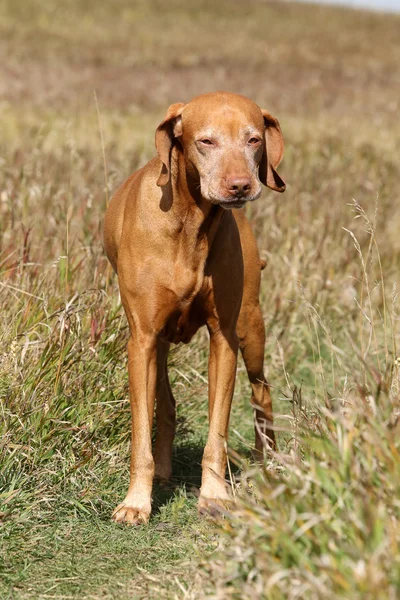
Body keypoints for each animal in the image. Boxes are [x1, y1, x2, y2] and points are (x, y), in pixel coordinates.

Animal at [103, 90, 284, 524]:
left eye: (253, 139)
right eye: (206, 141)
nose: (240, 186)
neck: (190, 223)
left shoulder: (224, 340)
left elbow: (217, 432)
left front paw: (215, 495)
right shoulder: (142, 340)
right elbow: (141, 433)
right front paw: (136, 502)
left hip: (250, 328)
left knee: (262, 393)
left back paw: (266, 464)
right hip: (160, 343)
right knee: (165, 405)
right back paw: (163, 473)